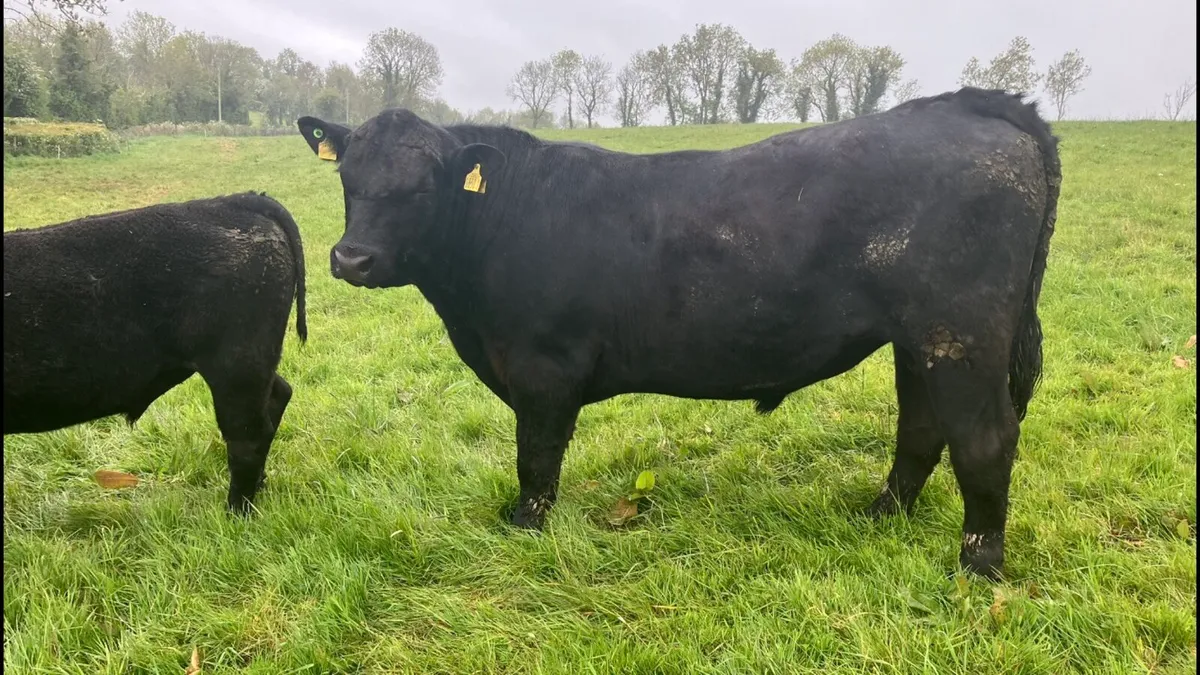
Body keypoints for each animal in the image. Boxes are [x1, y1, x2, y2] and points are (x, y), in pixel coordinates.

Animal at [3, 192, 308, 514]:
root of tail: (232, 200)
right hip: (252, 365)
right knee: (277, 397)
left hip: (236, 367)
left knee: (247, 434)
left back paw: (237, 511)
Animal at [295, 87, 1061, 579]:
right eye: (349, 179)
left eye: (422, 186)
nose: (351, 258)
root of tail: (965, 105)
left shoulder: (544, 369)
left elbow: (535, 460)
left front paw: (525, 530)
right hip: (921, 339)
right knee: (921, 428)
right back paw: (879, 516)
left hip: (962, 333)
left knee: (985, 439)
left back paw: (978, 565)